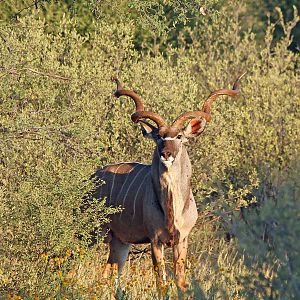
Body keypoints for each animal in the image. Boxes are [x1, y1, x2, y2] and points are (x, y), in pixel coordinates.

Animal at [90, 74, 245, 292]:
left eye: (179, 136)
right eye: (158, 137)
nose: (166, 154)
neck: (173, 209)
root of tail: (91, 178)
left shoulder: (182, 239)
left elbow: (180, 281)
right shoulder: (155, 240)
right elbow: (161, 283)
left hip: (119, 241)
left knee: (109, 276)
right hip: (93, 233)